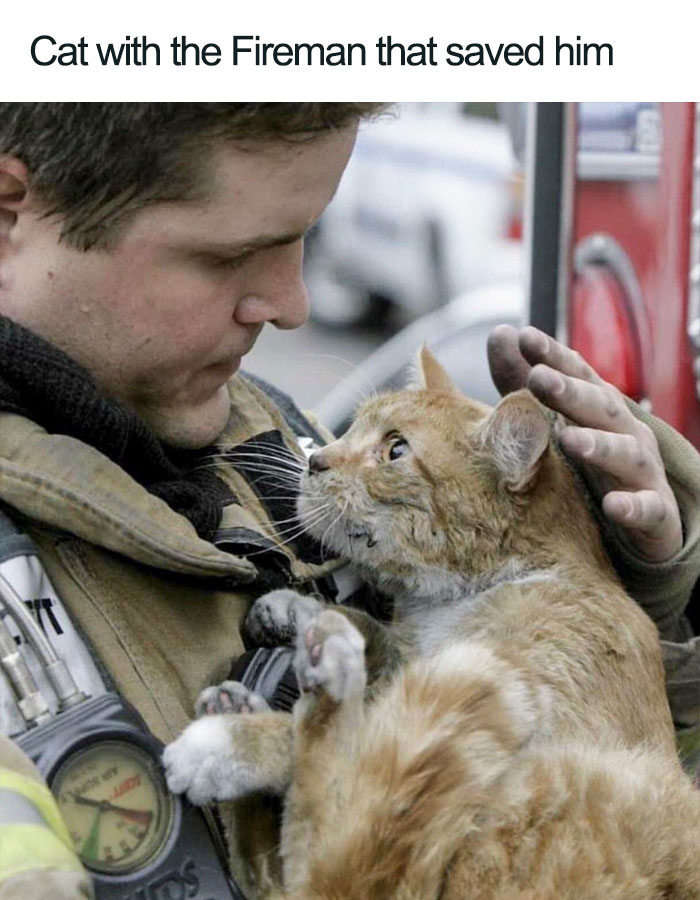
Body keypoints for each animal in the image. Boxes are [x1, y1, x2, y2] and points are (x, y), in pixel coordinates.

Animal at [164, 346, 700, 900]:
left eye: (395, 450)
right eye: (355, 428)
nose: (315, 459)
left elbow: (361, 751)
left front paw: (242, 741)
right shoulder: (414, 655)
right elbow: (371, 632)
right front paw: (296, 612)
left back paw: (229, 730)